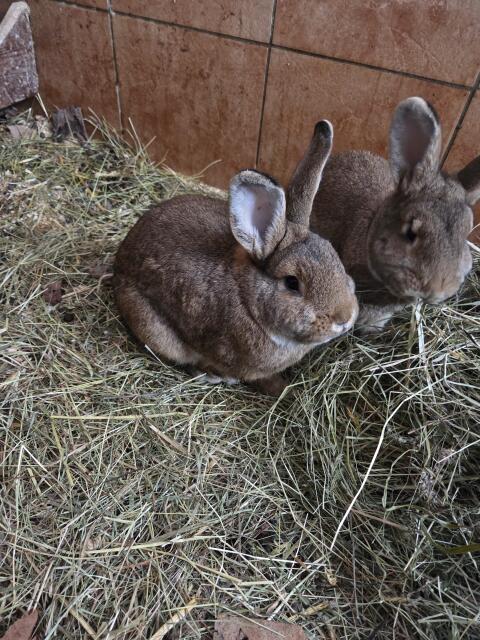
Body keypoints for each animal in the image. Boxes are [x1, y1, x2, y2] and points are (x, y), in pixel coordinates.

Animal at [113, 120, 358, 396]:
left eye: (334, 256)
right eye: (292, 283)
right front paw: (282, 389)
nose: (344, 318)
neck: (248, 300)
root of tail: (120, 258)